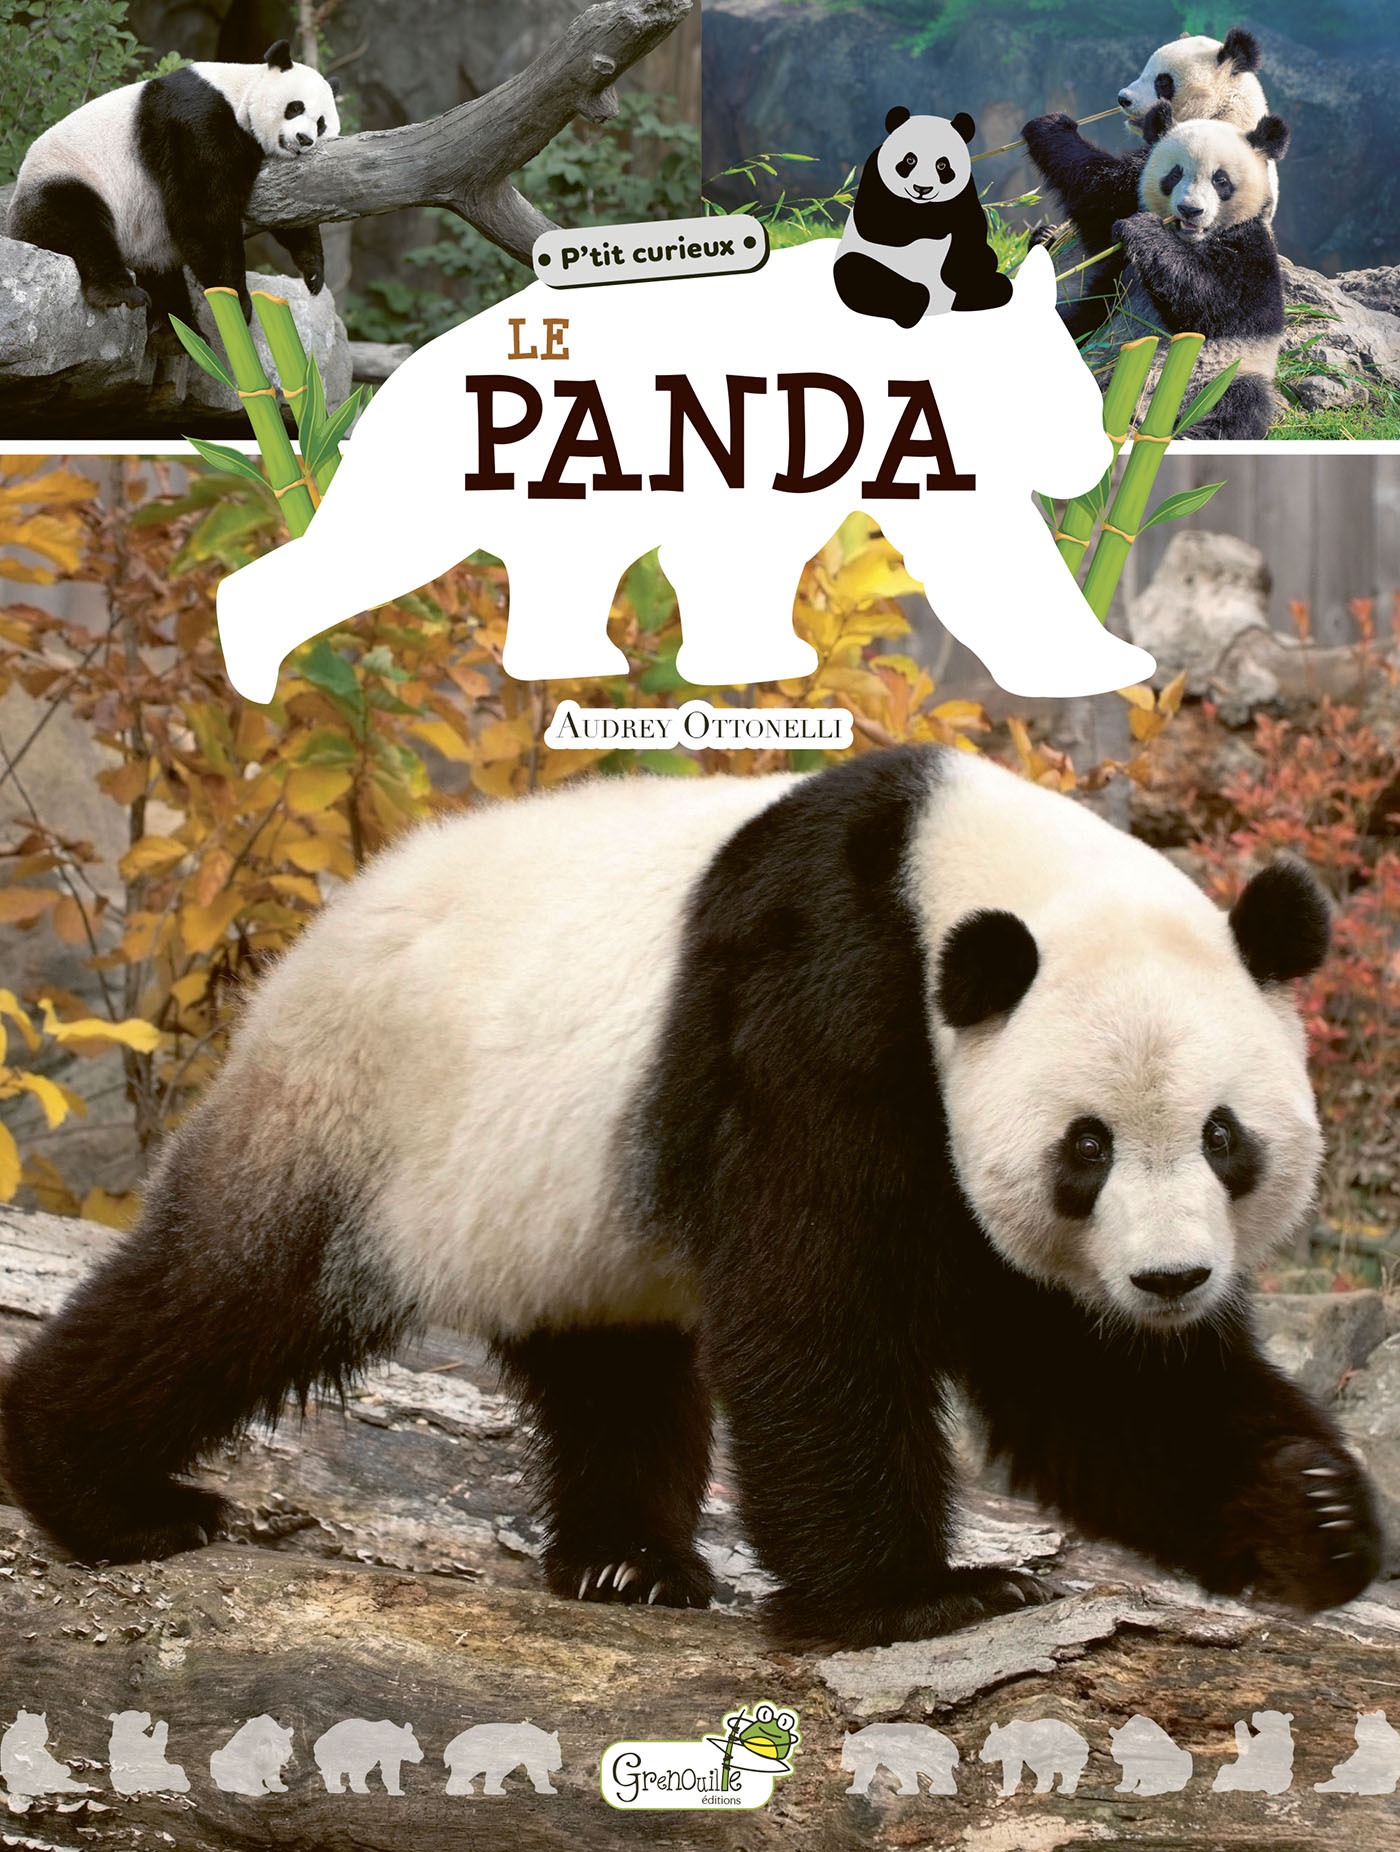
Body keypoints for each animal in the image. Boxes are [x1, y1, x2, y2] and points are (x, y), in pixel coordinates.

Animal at [0, 749, 1380, 1651]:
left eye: (1220, 1135)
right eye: (1083, 1147)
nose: (1168, 1281)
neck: (955, 871)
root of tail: (316, 932)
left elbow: (1087, 1378)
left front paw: (1311, 1514)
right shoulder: (819, 997)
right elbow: (816, 1304)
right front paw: (917, 1600)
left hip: (560, 1204)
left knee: (611, 1366)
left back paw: (628, 1564)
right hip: (364, 1109)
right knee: (228, 1294)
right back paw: (103, 1493)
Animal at [8, 40, 339, 346]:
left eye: (321, 123)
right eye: (295, 107)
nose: (304, 139)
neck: (239, 92)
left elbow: (288, 206)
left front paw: (313, 272)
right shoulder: (197, 121)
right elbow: (204, 214)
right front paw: (237, 303)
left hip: (147, 239)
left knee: (162, 274)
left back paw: (179, 334)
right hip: (67, 177)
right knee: (79, 225)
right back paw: (121, 294)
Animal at [834, 107, 1012, 327]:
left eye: (942, 165)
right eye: (910, 160)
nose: (922, 189)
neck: (920, 205)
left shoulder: (966, 192)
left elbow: (971, 234)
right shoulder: (874, 174)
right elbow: (877, 225)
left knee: (1000, 286)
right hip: (870, 267)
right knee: (857, 271)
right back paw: (913, 304)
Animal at [1023, 26, 1274, 339]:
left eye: (1162, 81)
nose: (1123, 98)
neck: (1224, 113)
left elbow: (1105, 200)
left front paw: (1050, 125)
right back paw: (1044, 235)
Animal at [1113, 103, 1290, 440]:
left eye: (1221, 180)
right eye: (1175, 173)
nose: (1190, 210)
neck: (1193, 240)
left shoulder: (1254, 253)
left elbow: (1214, 303)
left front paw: (1142, 229)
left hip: (1222, 377)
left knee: (1241, 405)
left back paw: (1189, 434)